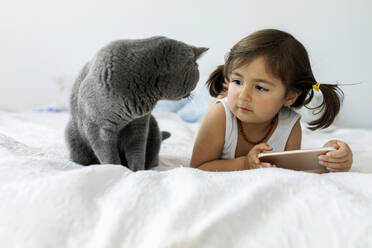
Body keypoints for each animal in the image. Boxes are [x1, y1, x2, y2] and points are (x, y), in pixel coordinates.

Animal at [65, 35, 208, 171]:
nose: (191, 93)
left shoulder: (139, 125)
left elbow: (137, 152)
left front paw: (137, 171)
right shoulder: (100, 128)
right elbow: (108, 155)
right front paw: (117, 169)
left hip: (153, 126)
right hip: (74, 138)